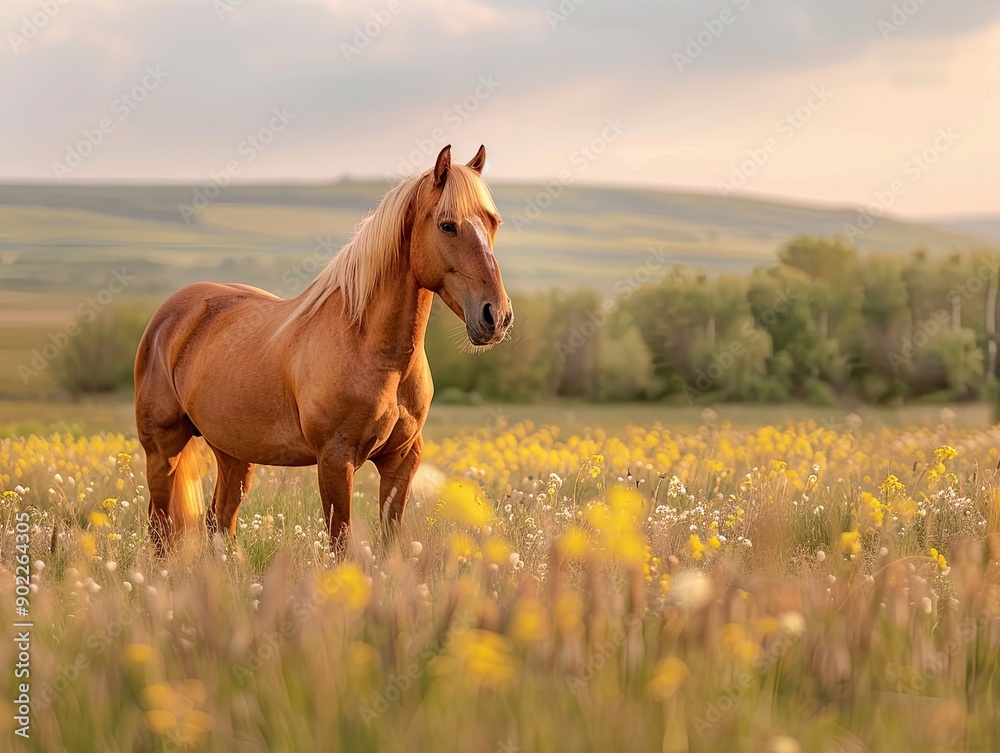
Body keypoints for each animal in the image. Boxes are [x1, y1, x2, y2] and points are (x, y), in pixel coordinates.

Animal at [134, 145, 513, 554]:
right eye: (447, 225)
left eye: (493, 222)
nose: (496, 316)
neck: (373, 351)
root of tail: (170, 314)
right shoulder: (334, 461)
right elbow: (341, 544)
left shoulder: (401, 459)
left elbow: (390, 541)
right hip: (163, 450)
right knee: (160, 527)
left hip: (233, 454)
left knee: (219, 521)